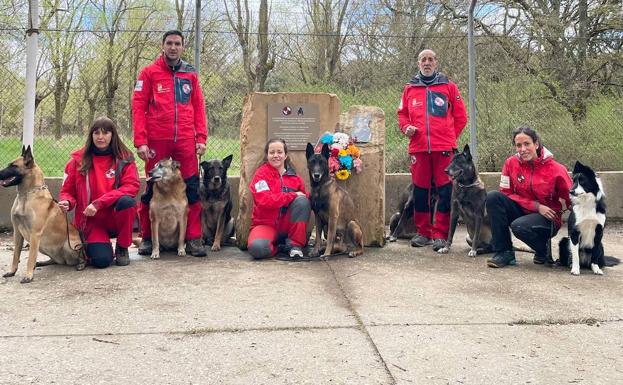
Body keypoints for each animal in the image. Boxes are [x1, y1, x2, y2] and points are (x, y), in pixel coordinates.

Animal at [0, 146, 85, 280]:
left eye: (13, 166)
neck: (26, 195)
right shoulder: (17, 232)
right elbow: (16, 255)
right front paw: (12, 271)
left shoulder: (35, 234)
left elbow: (30, 257)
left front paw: (28, 276)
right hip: (43, 246)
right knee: (54, 260)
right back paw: (43, 262)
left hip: (70, 245)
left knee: (84, 258)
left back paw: (81, 264)